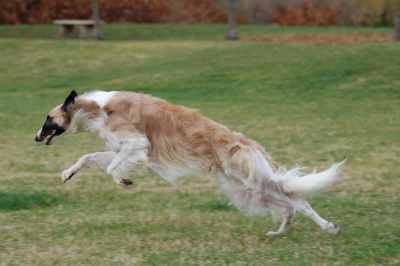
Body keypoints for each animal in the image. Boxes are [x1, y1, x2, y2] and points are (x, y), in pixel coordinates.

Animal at [36, 90, 346, 236]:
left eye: (48, 118)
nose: (36, 137)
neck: (95, 108)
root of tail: (249, 144)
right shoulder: (121, 148)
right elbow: (88, 157)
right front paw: (67, 173)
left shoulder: (137, 145)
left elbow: (113, 168)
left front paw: (123, 180)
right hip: (243, 189)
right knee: (287, 208)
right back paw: (278, 232)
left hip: (258, 181)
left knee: (299, 202)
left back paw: (329, 226)